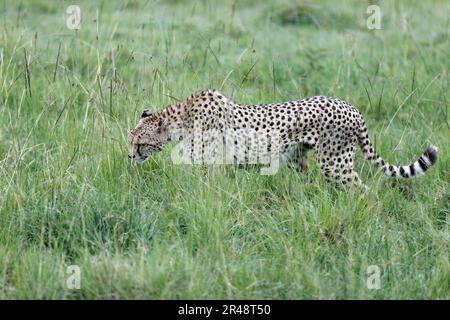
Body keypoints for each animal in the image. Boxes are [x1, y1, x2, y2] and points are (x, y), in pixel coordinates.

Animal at [128, 89, 438, 190]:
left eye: (140, 143)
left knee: (364, 190)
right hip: (299, 160)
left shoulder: (213, 165)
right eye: (130, 141)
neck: (181, 118)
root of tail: (350, 106)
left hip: (334, 163)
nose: (130, 156)